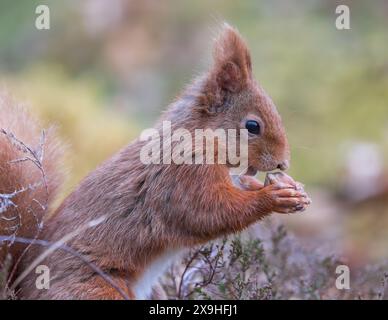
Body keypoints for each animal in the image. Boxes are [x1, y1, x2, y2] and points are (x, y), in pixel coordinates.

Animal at [0, 25, 310, 300]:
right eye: (252, 126)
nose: (283, 164)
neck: (197, 138)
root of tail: (20, 288)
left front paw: (292, 190)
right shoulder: (181, 176)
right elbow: (208, 213)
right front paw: (274, 197)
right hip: (99, 289)